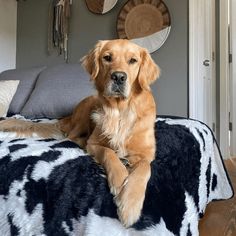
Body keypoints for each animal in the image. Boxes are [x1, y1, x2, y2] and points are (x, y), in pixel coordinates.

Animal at [0, 39, 159, 227]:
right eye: (107, 58)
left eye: (133, 60)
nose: (119, 77)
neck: (120, 111)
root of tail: (67, 117)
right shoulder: (95, 143)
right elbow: (109, 153)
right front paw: (120, 179)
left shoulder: (146, 154)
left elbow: (144, 169)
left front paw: (130, 205)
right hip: (86, 109)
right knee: (72, 137)